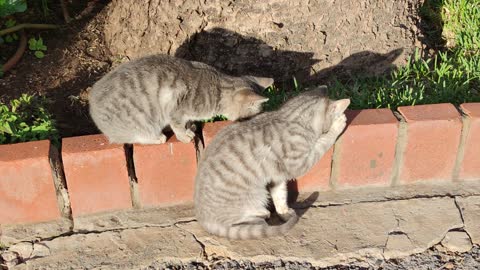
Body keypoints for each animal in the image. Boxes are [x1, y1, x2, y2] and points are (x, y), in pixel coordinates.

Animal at [88, 53, 272, 144]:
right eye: (255, 114)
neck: (218, 88)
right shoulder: (176, 109)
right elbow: (177, 126)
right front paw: (184, 136)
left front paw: (190, 127)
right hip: (140, 121)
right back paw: (158, 137)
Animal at [194, 86, 348, 238]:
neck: (290, 118)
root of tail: (203, 219)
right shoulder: (299, 164)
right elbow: (322, 143)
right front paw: (338, 125)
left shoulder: (277, 176)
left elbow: (280, 196)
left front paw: (284, 212)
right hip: (255, 195)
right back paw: (260, 214)